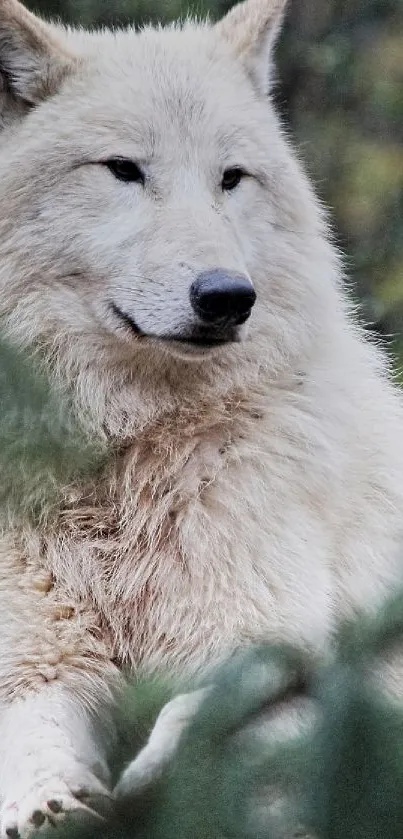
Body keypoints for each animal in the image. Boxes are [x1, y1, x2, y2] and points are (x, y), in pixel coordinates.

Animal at [0, 0, 403, 832]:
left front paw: (157, 787)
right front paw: (48, 799)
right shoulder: (34, 653)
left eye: (230, 178)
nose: (226, 296)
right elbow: (30, 728)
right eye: (124, 169)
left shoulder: (260, 641)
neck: (120, 453)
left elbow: (198, 720)